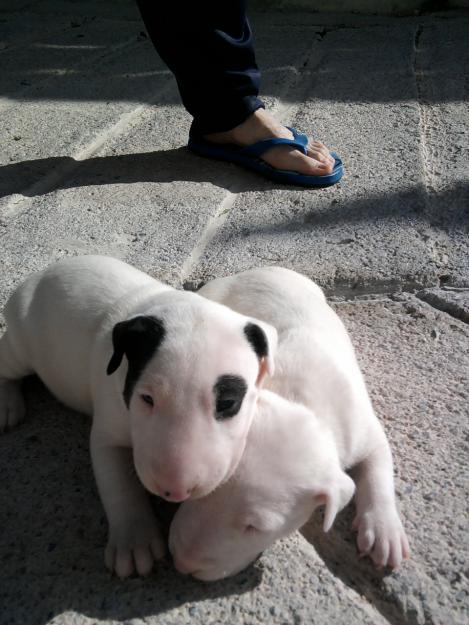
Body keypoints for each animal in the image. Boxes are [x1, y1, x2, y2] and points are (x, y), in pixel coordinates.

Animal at [0, 254, 278, 576]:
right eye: (146, 399)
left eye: (229, 403)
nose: (175, 491)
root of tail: (41, 274)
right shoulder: (107, 434)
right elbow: (119, 484)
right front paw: (134, 542)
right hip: (21, 343)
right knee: (7, 367)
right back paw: (7, 406)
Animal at [169, 266, 410, 580]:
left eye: (255, 527)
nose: (182, 564)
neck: (299, 403)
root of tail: (256, 270)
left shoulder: (363, 430)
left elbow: (378, 467)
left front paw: (384, 533)